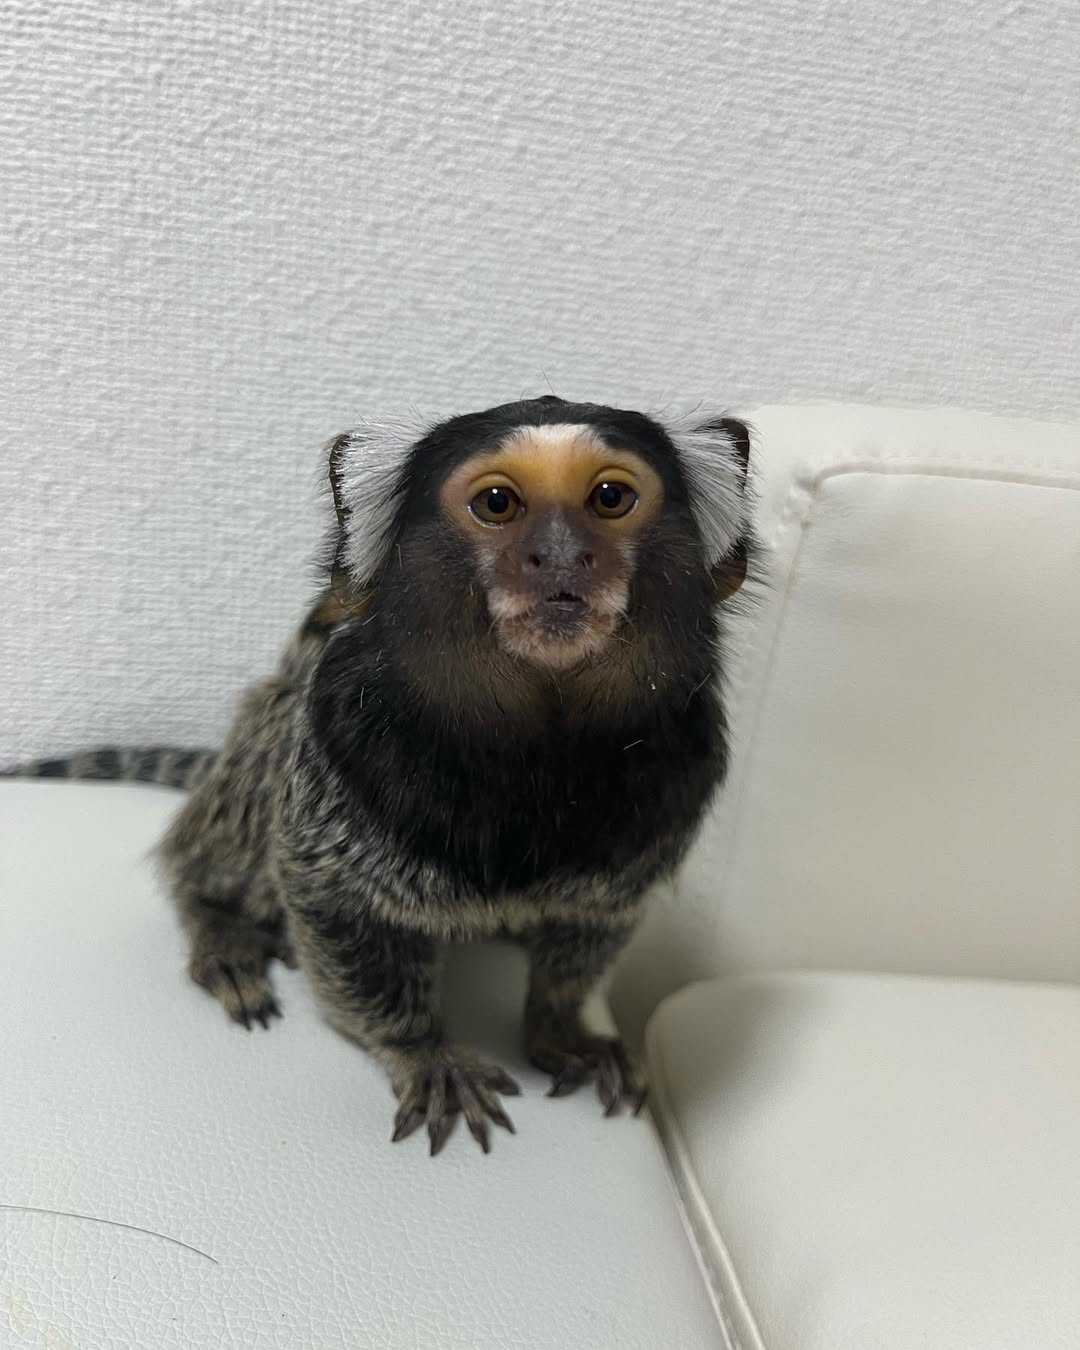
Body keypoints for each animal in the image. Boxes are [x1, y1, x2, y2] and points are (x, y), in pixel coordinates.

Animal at [3, 396, 754, 1156]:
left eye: (610, 498)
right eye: (497, 504)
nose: (562, 556)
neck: (538, 745)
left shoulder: (664, 799)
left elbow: (592, 928)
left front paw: (563, 1025)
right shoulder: (334, 768)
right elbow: (335, 908)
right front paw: (420, 1049)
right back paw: (220, 928)